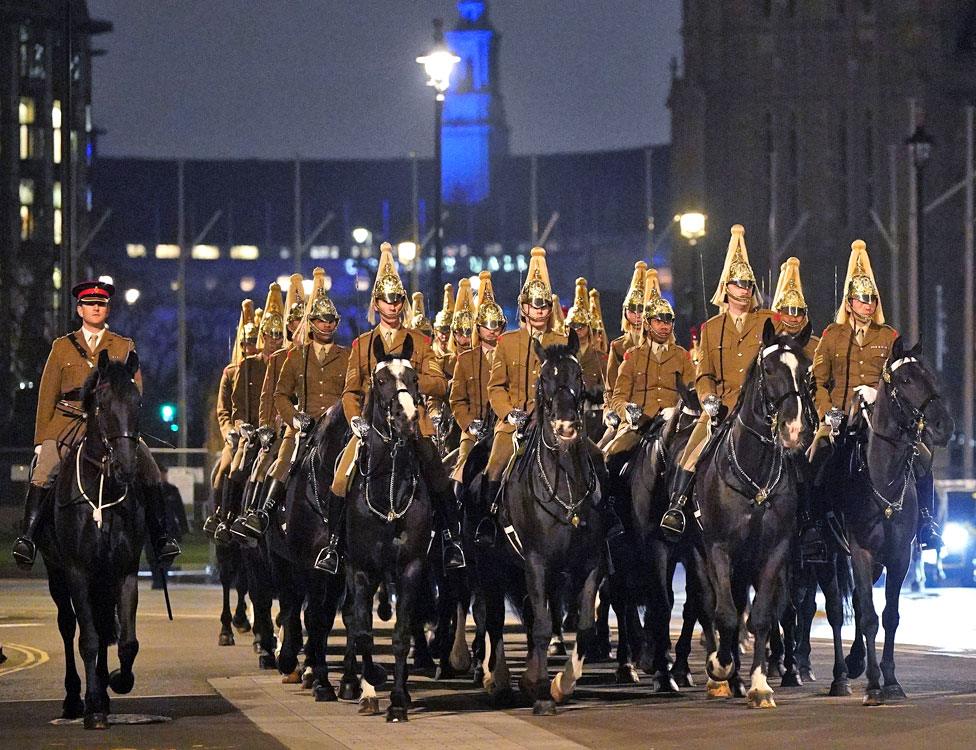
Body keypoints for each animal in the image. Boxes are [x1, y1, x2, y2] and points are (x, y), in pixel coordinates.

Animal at [37, 352, 152, 728]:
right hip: (57, 573)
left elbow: (127, 641)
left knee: (103, 627)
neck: (103, 487)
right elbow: (86, 638)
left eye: (137, 402)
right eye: (102, 403)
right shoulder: (77, 571)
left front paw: (117, 681)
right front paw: (92, 707)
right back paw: (75, 698)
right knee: (68, 625)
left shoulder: (124, 571)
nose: (126, 467)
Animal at [476, 334, 608, 716]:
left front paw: (560, 685)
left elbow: (583, 626)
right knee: (493, 620)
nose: (566, 428)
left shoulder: (589, 564)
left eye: (578, 376)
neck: (565, 484)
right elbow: (541, 626)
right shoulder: (535, 562)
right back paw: (499, 681)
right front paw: (538, 689)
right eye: (543, 379)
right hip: (490, 566)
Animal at [692, 320, 816, 708]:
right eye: (769, 369)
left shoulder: (775, 550)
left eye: (806, 372)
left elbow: (760, 616)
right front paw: (719, 666)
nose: (793, 430)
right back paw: (722, 673)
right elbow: (726, 615)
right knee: (710, 606)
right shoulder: (718, 548)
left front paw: (760, 684)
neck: (755, 475)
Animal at [832, 340, 952, 704]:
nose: (945, 426)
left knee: (859, 603)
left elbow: (890, 615)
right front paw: (874, 684)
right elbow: (870, 617)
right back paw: (840, 676)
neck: (882, 477)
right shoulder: (860, 552)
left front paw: (891, 681)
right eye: (907, 379)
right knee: (836, 610)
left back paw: (855, 661)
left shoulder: (899, 556)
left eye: (931, 375)